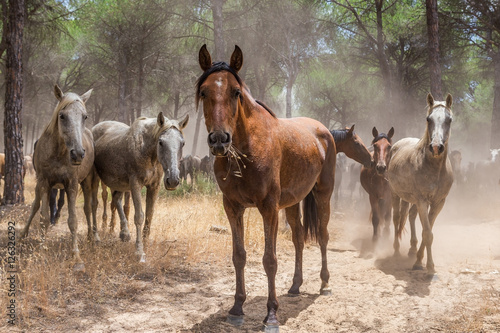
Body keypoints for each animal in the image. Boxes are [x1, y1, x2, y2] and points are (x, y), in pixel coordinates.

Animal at [20, 84, 97, 272]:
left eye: (85, 116)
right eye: (62, 116)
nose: (78, 154)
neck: (58, 153)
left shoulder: (72, 185)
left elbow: (73, 220)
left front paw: (76, 255)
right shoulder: (44, 182)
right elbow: (43, 217)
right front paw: (41, 250)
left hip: (87, 183)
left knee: (88, 208)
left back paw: (91, 236)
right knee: (35, 206)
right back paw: (23, 234)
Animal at [91, 113, 188, 260]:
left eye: (182, 143)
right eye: (161, 142)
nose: (173, 180)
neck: (148, 152)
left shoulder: (154, 186)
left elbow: (149, 214)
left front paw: (146, 243)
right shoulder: (135, 184)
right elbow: (139, 216)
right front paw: (139, 251)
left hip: (120, 183)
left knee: (116, 200)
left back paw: (124, 233)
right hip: (96, 178)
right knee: (94, 204)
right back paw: (94, 235)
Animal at [195, 44, 336, 326]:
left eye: (236, 92)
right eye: (204, 92)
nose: (219, 140)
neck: (247, 150)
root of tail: (323, 130)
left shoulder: (268, 208)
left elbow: (270, 260)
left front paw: (271, 314)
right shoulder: (233, 207)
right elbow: (239, 256)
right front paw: (237, 308)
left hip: (323, 194)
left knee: (323, 235)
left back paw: (325, 284)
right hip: (292, 203)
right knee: (298, 238)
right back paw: (295, 286)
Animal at [388, 93, 456, 274]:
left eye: (449, 120)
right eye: (428, 119)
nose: (436, 147)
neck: (434, 168)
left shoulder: (438, 203)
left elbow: (428, 232)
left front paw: (420, 260)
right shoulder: (422, 201)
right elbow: (427, 233)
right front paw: (427, 265)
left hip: (411, 200)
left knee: (410, 216)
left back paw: (412, 249)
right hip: (395, 194)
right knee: (396, 219)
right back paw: (396, 250)